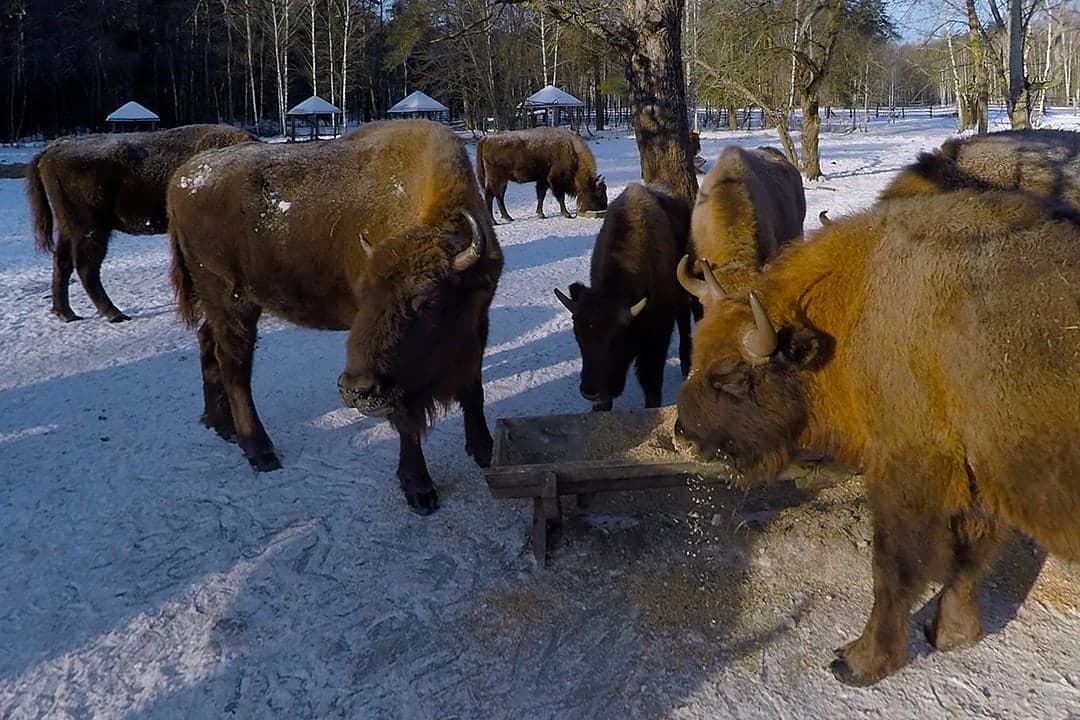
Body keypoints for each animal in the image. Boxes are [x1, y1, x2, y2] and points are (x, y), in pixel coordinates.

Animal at [25, 124, 254, 322]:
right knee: (86, 267)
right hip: (90, 229)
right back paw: (115, 315)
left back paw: (66, 314)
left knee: (62, 263)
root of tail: (51, 151)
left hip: (69, 228)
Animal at [168, 119, 503, 515]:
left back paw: (221, 425)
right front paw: (419, 490)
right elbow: (407, 422)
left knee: (208, 345)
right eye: (364, 296)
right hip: (232, 303)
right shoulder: (400, 383)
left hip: (219, 305)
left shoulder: (478, 326)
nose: (354, 389)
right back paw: (260, 452)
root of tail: (182, 177)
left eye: (429, 302)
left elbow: (474, 390)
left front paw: (485, 451)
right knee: (235, 368)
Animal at [475, 126, 607, 222]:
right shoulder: (554, 180)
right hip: (496, 178)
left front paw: (541, 214)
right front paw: (567, 214)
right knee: (490, 195)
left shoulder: (543, 180)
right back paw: (493, 221)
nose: (604, 206)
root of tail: (486, 138)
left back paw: (508, 217)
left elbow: (541, 196)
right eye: (599, 191)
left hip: (503, 180)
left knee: (499, 196)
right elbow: (560, 197)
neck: (572, 152)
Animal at [675, 188, 1080, 685]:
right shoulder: (975, 478)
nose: (683, 436)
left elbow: (894, 570)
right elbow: (968, 558)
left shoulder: (910, 469)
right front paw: (950, 635)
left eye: (733, 376)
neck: (861, 308)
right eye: (696, 353)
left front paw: (857, 662)